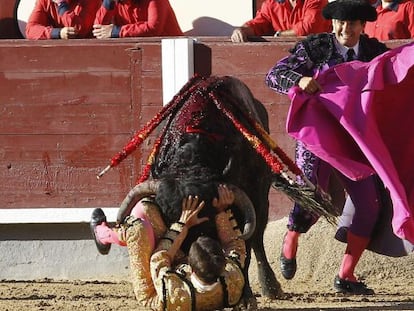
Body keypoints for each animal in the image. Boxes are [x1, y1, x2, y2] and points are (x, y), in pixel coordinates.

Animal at [105, 74, 334, 304]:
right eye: (167, 216)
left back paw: (270, 287)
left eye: (209, 219)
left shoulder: (249, 199)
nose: (186, 263)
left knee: (257, 239)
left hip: (261, 199)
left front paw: (246, 297)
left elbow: (246, 245)